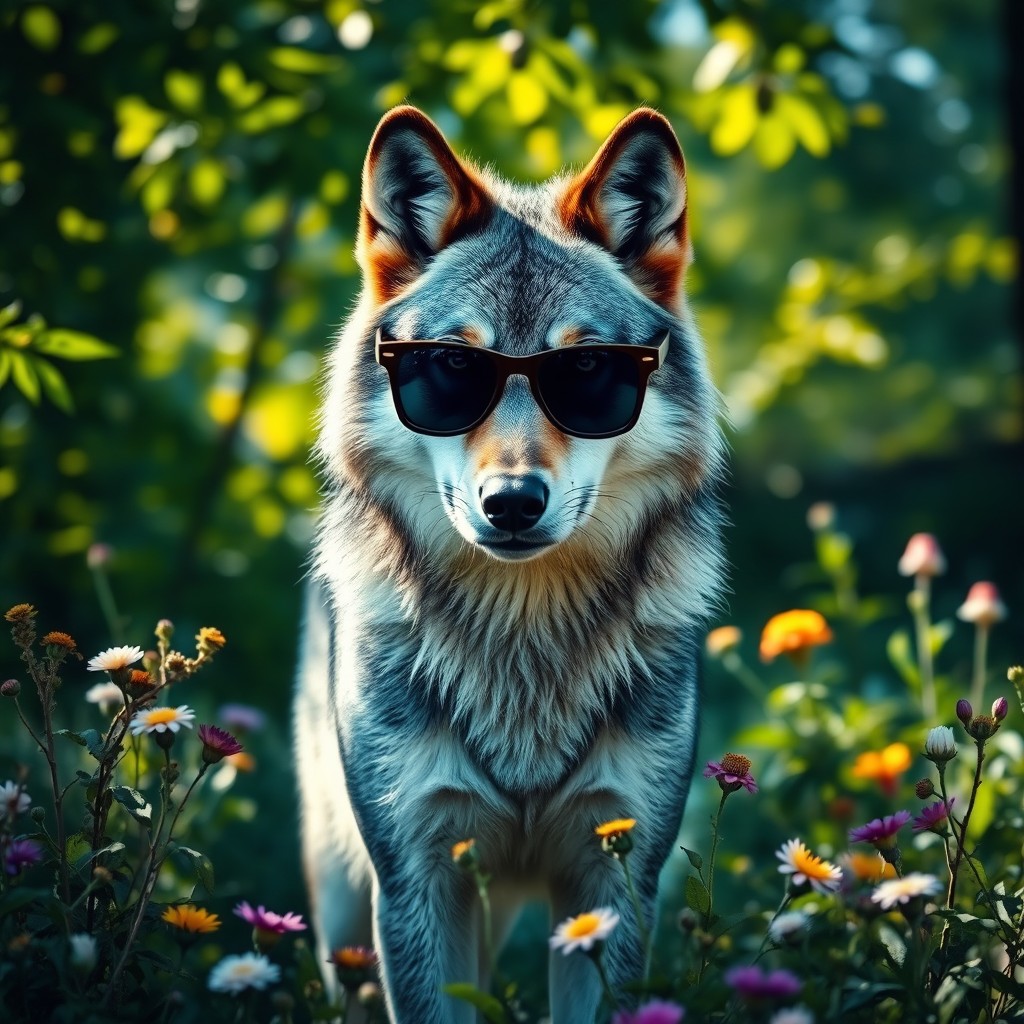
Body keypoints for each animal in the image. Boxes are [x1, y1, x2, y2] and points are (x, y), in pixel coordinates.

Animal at [295, 104, 726, 1023]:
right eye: (455, 366)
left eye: (588, 368)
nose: (513, 501)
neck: (522, 640)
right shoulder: (414, 878)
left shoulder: (616, 874)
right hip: (349, 917)